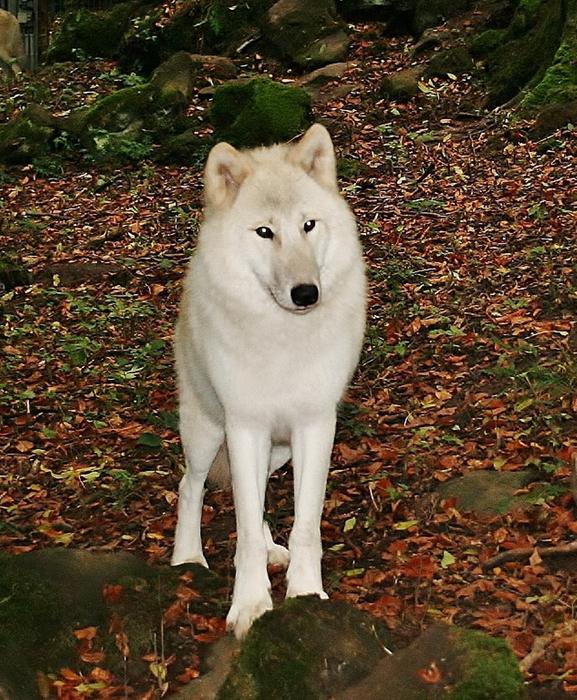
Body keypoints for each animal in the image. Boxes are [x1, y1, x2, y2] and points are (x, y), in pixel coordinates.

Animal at [171, 124, 366, 639]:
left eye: (308, 225)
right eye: (265, 232)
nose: (306, 293)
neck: (283, 338)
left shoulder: (314, 427)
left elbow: (305, 527)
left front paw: (306, 595)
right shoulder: (245, 426)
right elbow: (242, 533)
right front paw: (251, 607)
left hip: (279, 450)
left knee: (255, 503)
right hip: (207, 431)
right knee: (190, 485)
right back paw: (187, 557)